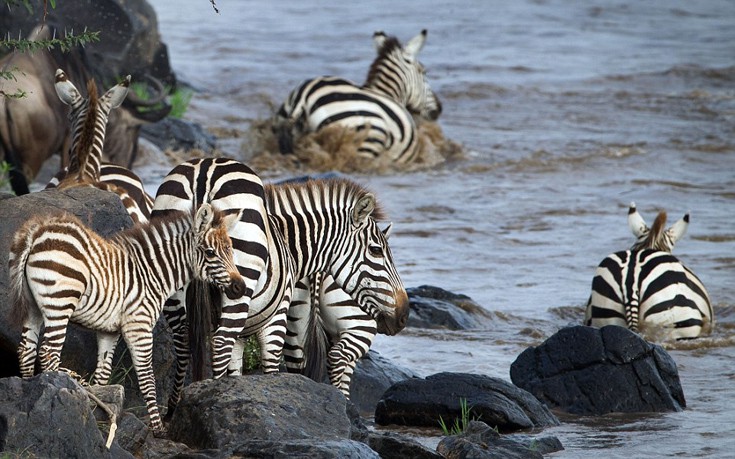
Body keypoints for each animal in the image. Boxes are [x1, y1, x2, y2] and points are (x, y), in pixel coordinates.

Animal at [7, 203, 244, 434]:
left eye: (231, 250)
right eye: (210, 252)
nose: (239, 287)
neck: (151, 274)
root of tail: (37, 231)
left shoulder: (109, 331)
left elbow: (103, 374)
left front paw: (100, 413)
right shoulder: (138, 325)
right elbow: (147, 377)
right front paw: (158, 428)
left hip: (33, 306)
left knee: (26, 350)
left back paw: (29, 390)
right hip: (59, 303)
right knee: (49, 352)